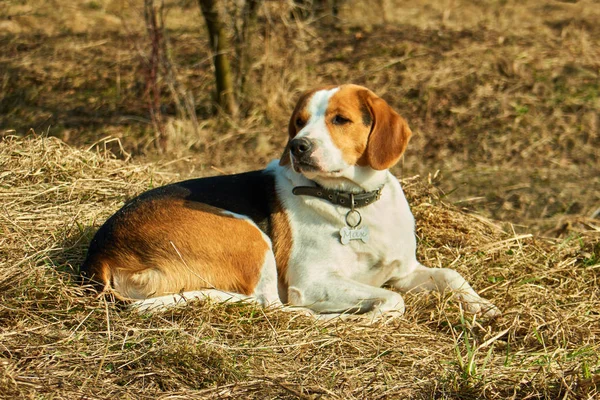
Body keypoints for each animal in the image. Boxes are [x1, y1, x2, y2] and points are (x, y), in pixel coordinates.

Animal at [81, 84, 502, 318]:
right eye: (298, 122)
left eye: (340, 119)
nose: (298, 146)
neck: (351, 202)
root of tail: (101, 254)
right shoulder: (313, 282)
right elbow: (392, 300)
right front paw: (368, 315)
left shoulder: (404, 270)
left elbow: (451, 275)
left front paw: (483, 307)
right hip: (250, 237)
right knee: (275, 308)